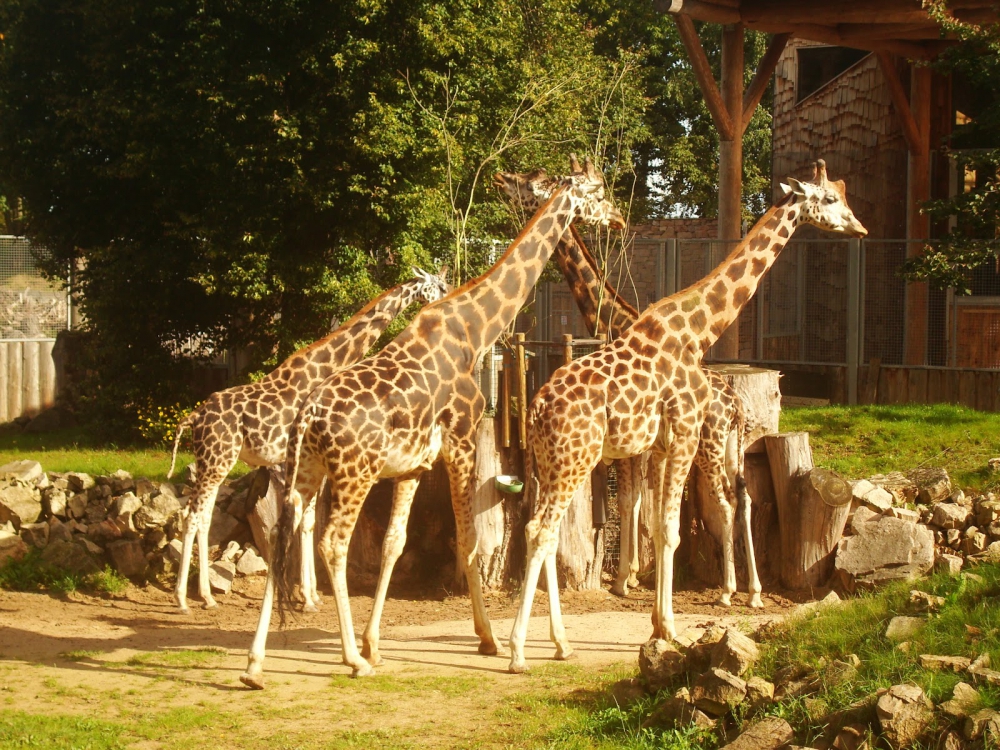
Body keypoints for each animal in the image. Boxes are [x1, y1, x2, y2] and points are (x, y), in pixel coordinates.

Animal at [168, 268, 450, 612]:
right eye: (440, 286)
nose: (449, 297)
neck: (325, 366)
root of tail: (193, 418)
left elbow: (309, 522)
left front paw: (311, 594)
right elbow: (306, 521)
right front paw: (307, 596)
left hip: (211, 461)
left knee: (204, 516)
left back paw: (205, 596)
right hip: (217, 460)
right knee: (193, 515)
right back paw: (185, 599)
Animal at [237, 156, 620, 692]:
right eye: (598, 192)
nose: (619, 218)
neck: (474, 329)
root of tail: (307, 415)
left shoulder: (413, 466)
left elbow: (394, 545)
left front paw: (376, 643)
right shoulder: (461, 441)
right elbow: (470, 541)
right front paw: (488, 640)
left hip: (306, 471)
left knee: (279, 536)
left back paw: (255, 665)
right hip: (354, 473)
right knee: (333, 541)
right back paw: (350, 660)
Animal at [500, 170, 764, 604]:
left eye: (529, 183)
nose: (500, 179)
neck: (615, 321)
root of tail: (736, 405)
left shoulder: (633, 446)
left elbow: (630, 501)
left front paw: (627, 577)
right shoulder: (644, 447)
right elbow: (645, 503)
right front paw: (640, 574)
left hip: (708, 447)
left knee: (726, 502)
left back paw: (729, 589)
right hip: (731, 447)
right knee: (743, 497)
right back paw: (753, 589)